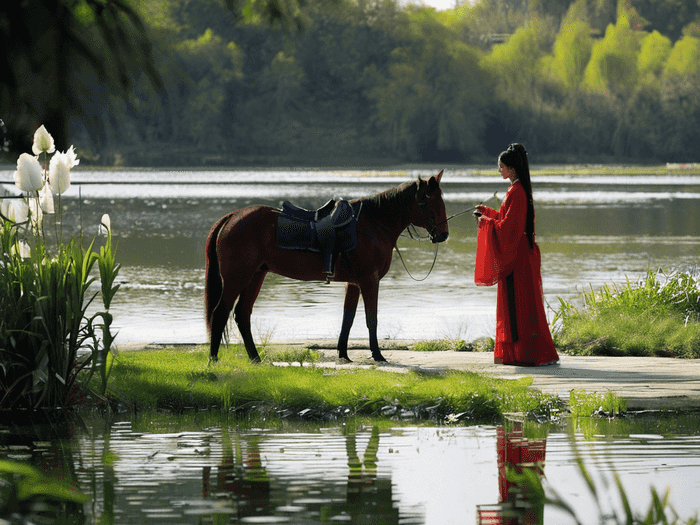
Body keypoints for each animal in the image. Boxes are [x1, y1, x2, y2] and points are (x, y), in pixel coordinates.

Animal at [202, 170, 448, 362]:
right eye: (428, 201)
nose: (443, 235)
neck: (372, 225)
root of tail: (231, 217)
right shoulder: (369, 281)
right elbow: (371, 319)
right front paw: (377, 355)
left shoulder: (354, 283)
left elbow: (348, 318)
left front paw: (343, 354)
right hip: (237, 278)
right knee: (220, 313)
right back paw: (213, 360)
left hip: (255, 276)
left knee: (242, 315)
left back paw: (255, 359)